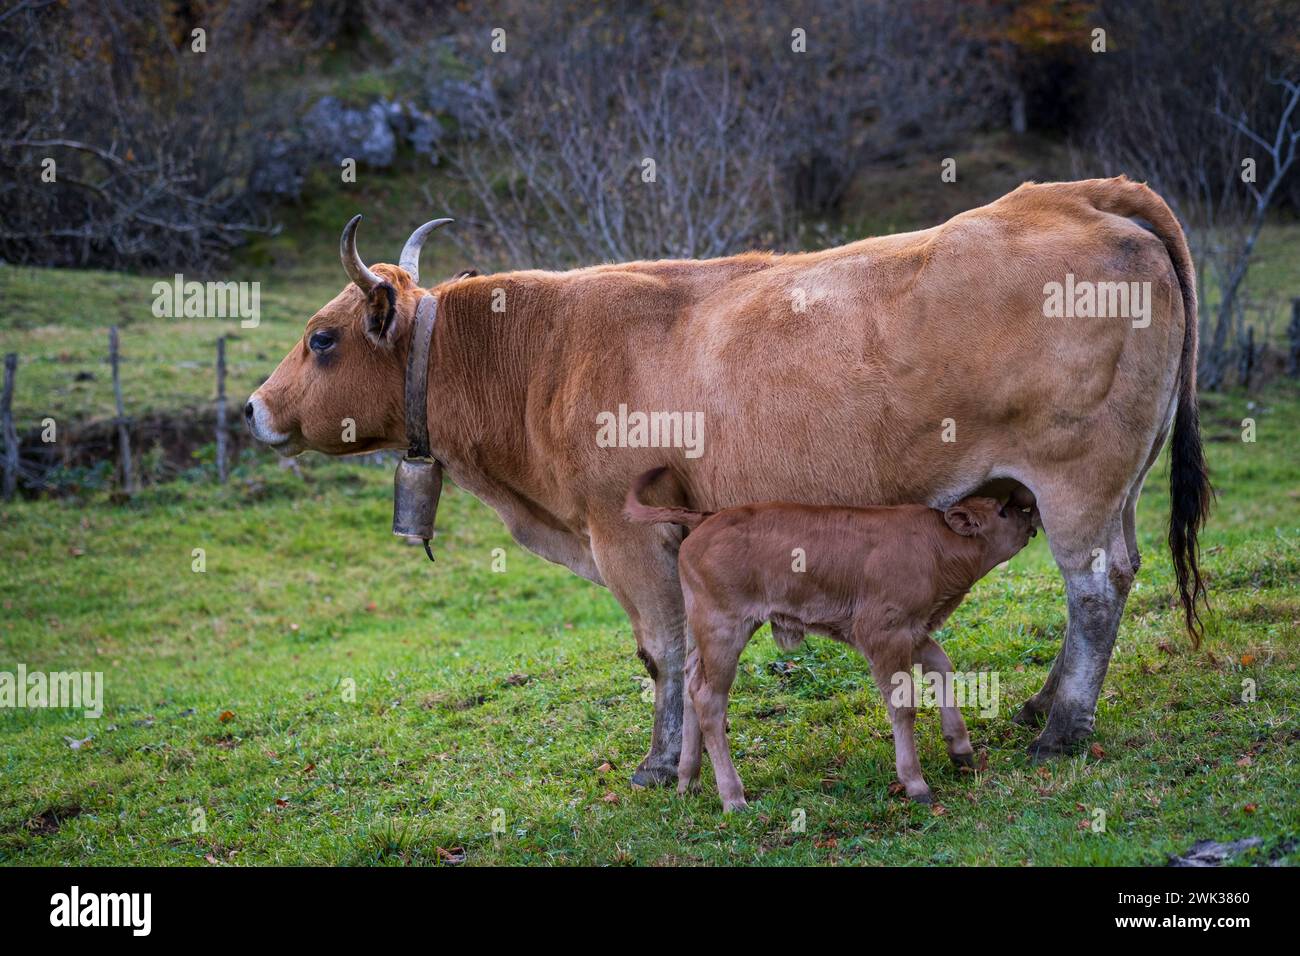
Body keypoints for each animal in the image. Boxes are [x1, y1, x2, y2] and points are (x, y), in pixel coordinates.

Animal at [626, 468, 1034, 811]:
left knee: (691, 680)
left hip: (705, 632)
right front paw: (916, 783)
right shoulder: (882, 632)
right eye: (1001, 511)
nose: (1029, 513)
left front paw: (961, 749)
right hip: (723, 628)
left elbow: (942, 666)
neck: (937, 547)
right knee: (709, 698)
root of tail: (708, 516)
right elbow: (904, 704)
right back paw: (733, 797)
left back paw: (688, 781)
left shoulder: (914, 630)